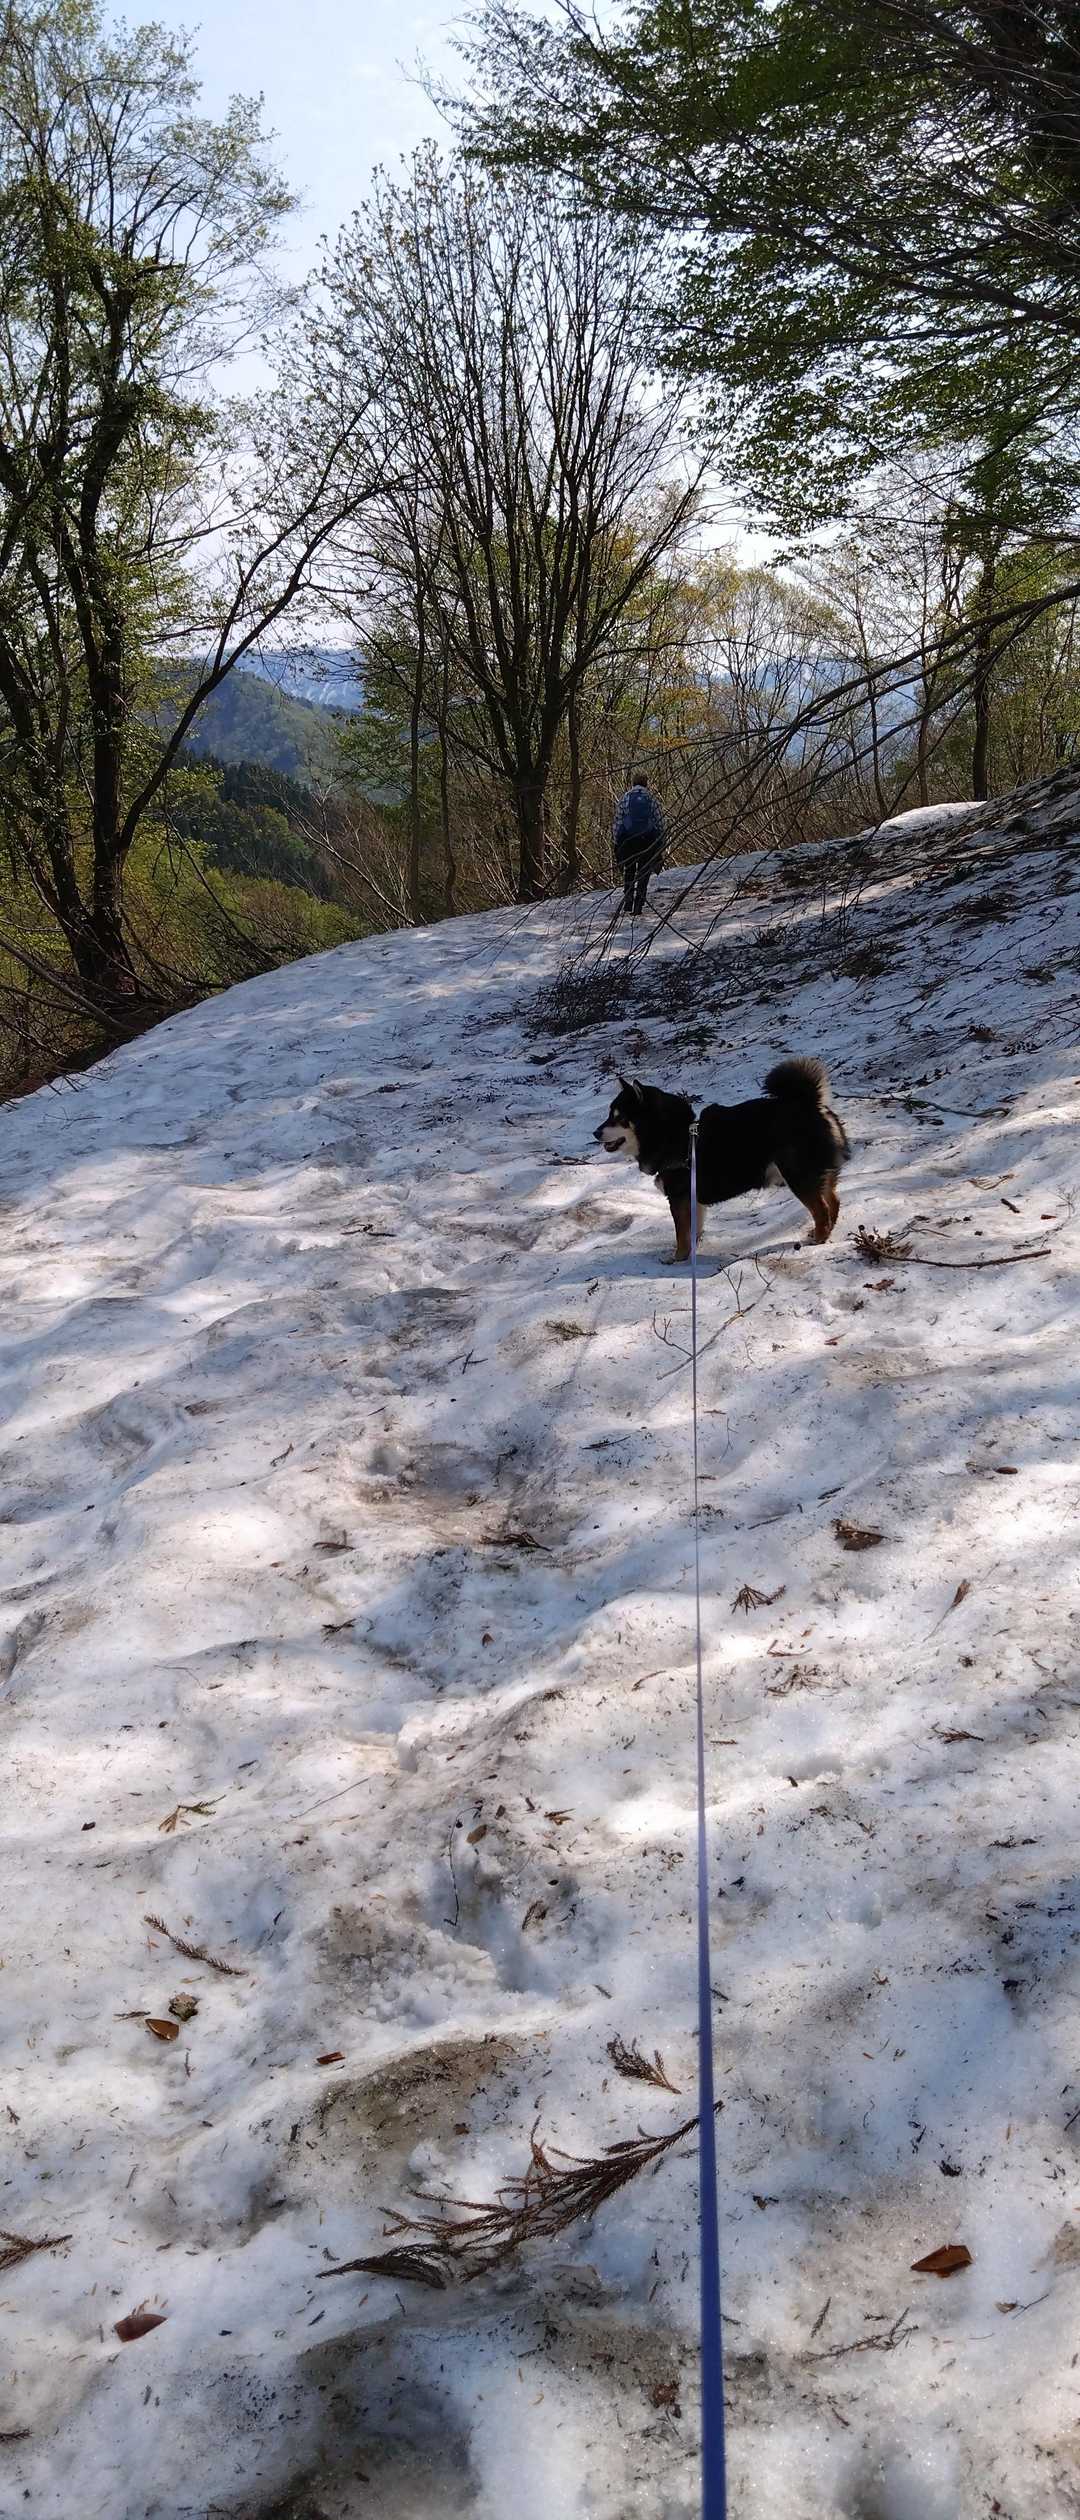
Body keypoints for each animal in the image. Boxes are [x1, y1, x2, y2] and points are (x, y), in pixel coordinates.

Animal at [593, 1057, 850, 1260]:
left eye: (619, 1118)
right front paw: (690, 1254)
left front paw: (678, 1257)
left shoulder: (678, 1198)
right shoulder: (692, 1198)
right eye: (609, 1115)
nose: (595, 1132)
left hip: (798, 1176)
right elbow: (692, 1231)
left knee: (821, 1209)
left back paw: (818, 1239)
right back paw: (823, 1233)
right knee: (834, 1202)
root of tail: (810, 1103)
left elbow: (681, 1234)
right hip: (818, 1174)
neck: (673, 1134)